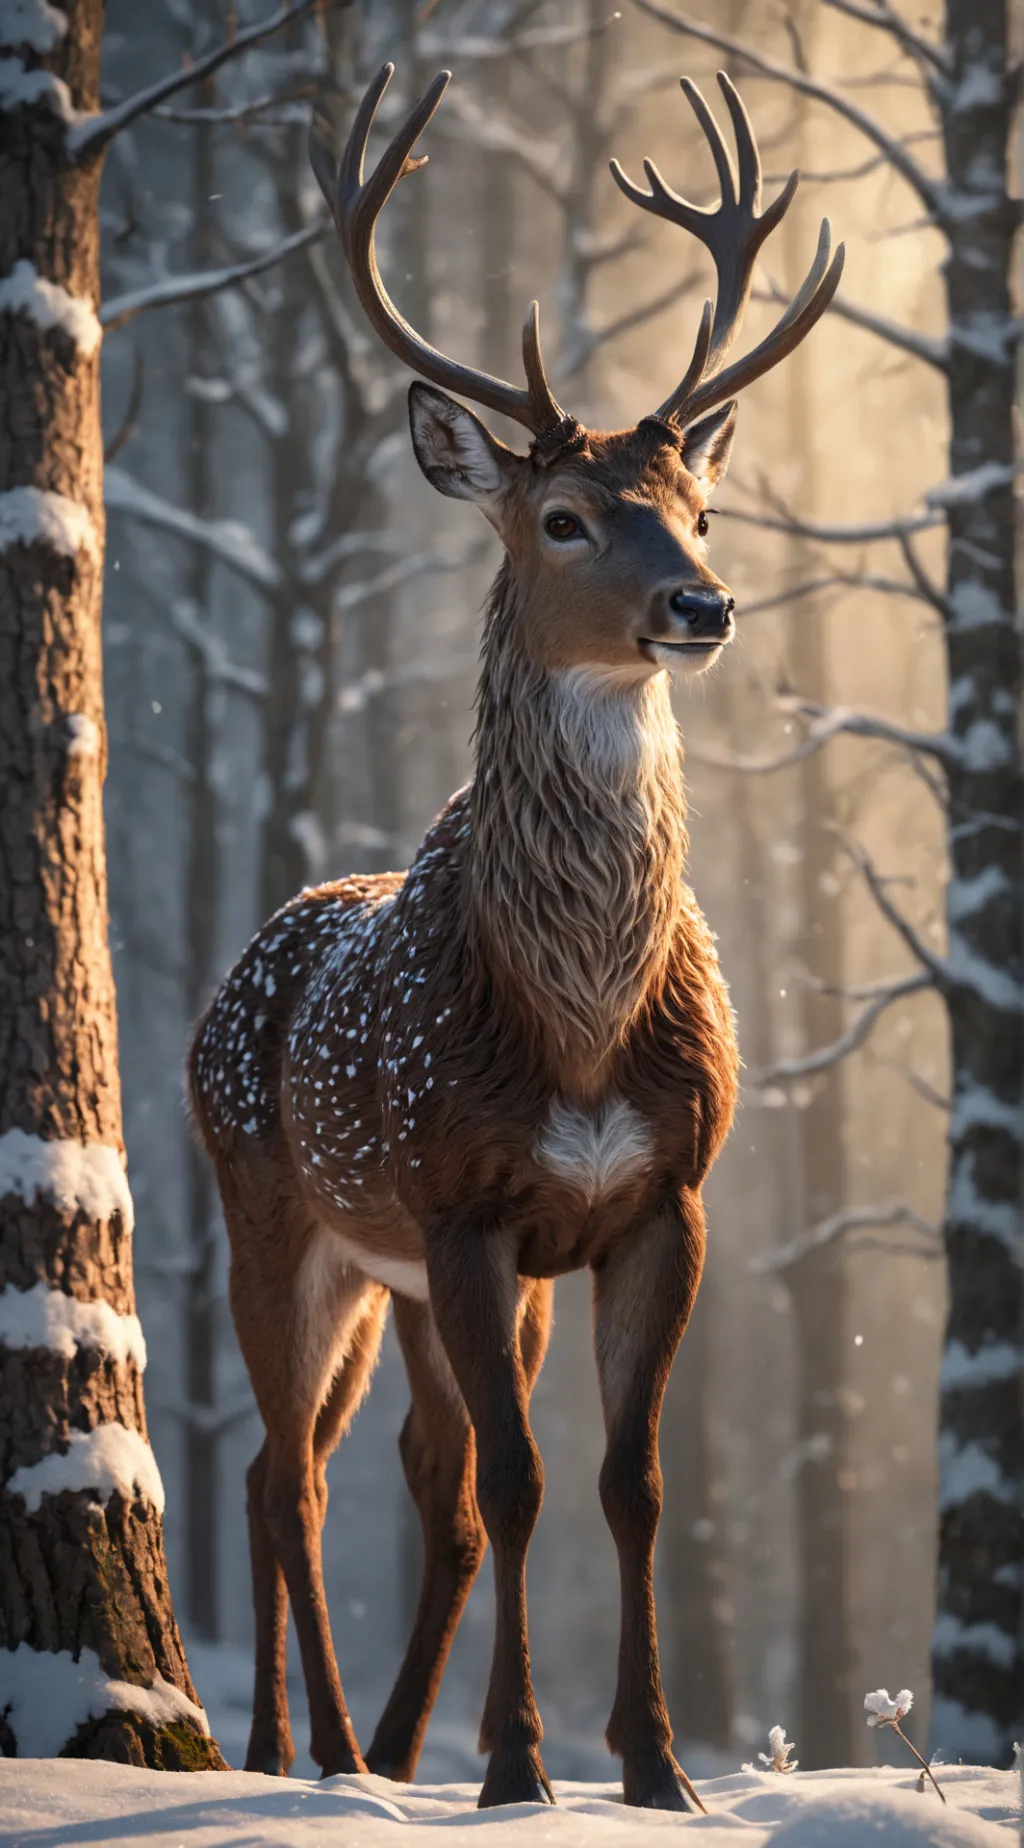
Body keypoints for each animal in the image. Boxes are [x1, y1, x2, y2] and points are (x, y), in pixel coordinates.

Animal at [188, 62, 843, 1813]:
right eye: (562, 516)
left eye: (695, 505)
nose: (704, 605)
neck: (584, 1016)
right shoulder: (462, 1194)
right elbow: (532, 1477)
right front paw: (521, 1771)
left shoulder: (654, 1199)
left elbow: (626, 1480)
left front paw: (656, 1767)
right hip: (276, 1209)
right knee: (286, 1474)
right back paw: (314, 1754)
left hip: (403, 1281)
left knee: (400, 1471)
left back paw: (381, 1743)